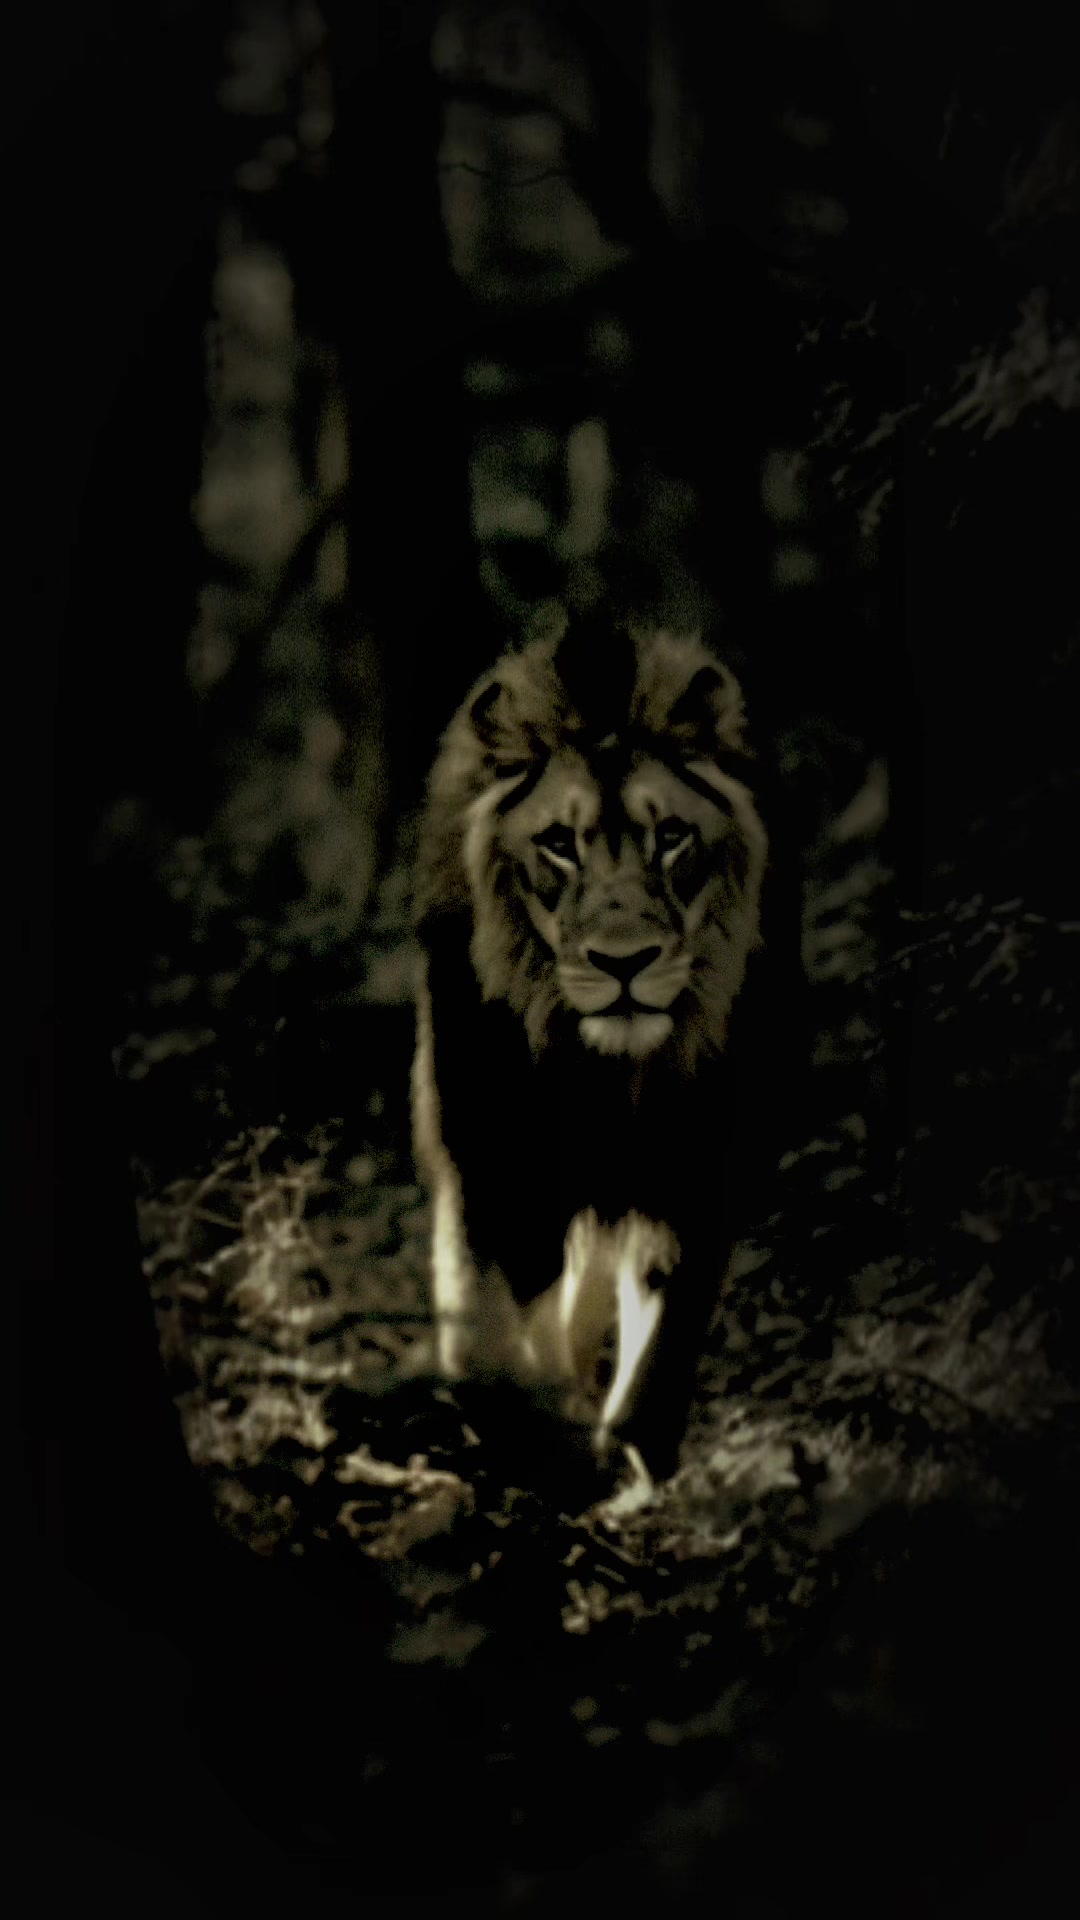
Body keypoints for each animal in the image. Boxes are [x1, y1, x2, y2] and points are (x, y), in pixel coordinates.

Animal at [410, 609, 794, 1479]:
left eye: (672, 837)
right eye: (560, 843)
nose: (625, 962)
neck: (610, 1077)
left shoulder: (697, 1172)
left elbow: (668, 1326)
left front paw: (632, 1450)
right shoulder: (499, 1164)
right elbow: (502, 1317)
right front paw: (529, 1423)